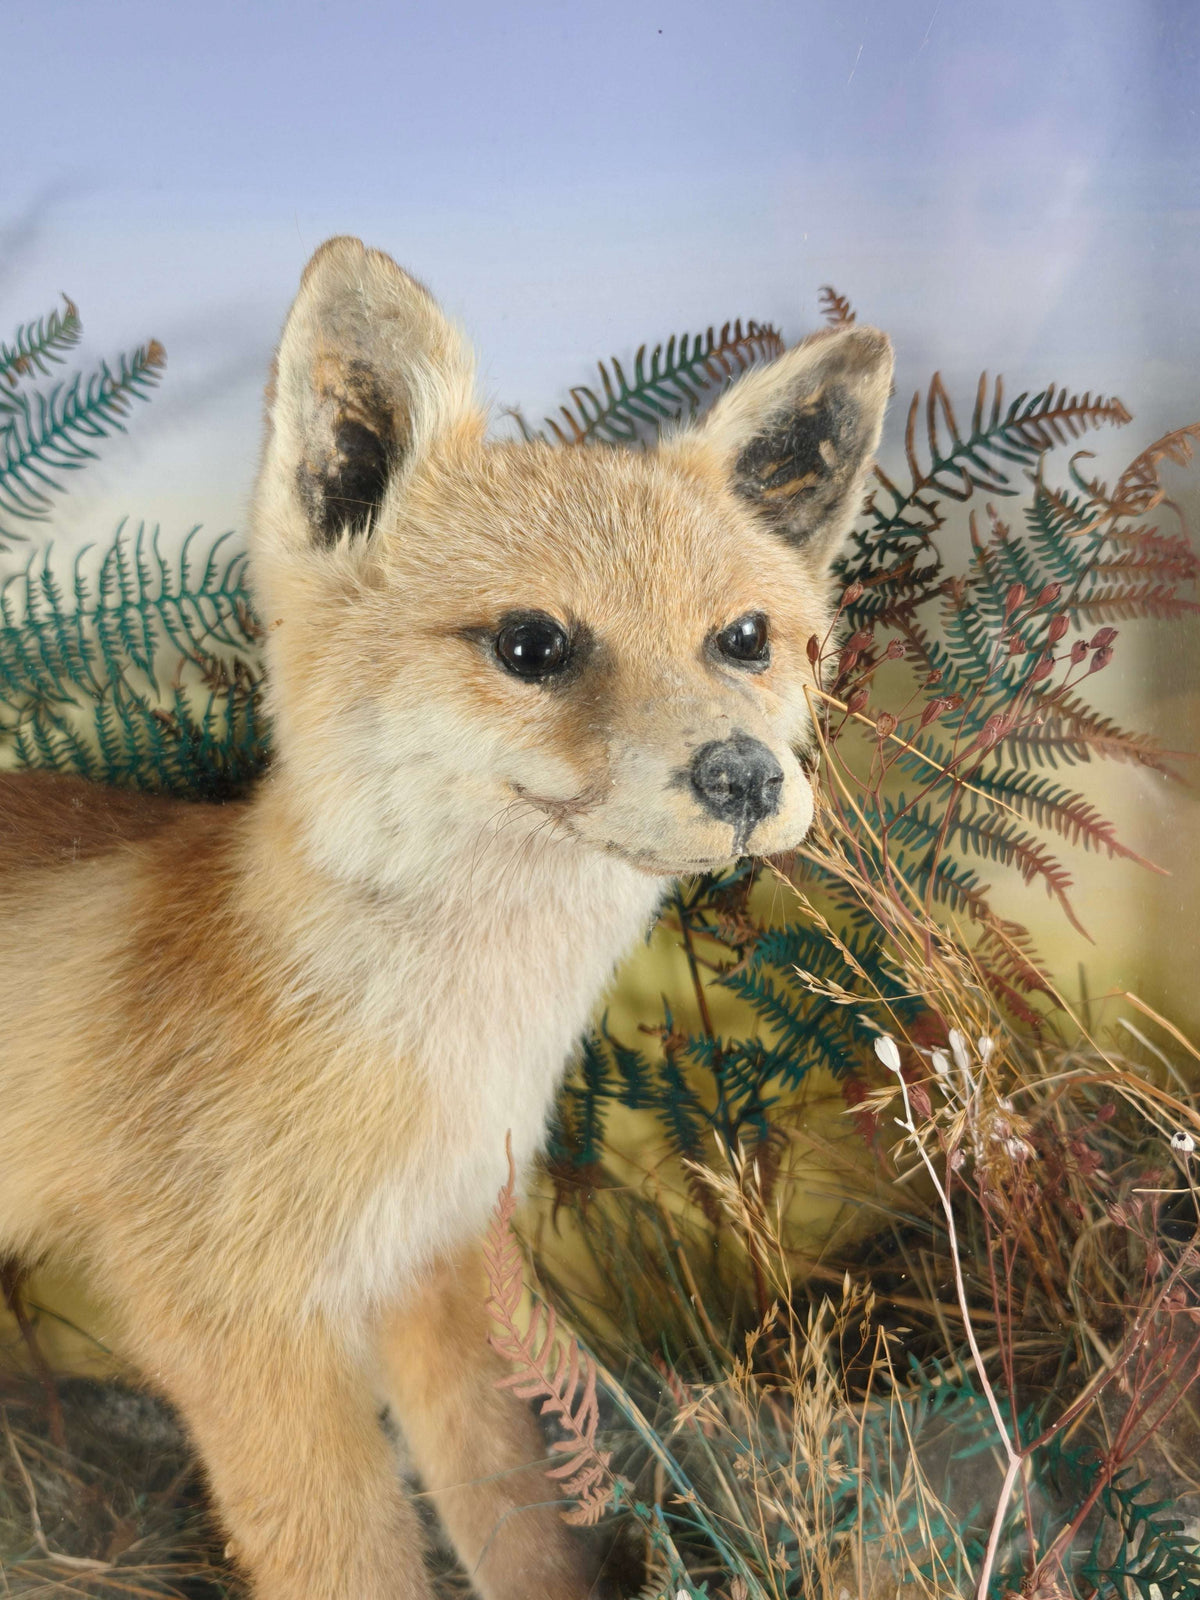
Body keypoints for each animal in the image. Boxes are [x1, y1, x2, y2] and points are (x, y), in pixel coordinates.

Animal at [0, 237, 891, 1599]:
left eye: (744, 638)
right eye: (532, 645)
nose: (743, 777)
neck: (441, 1063)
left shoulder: (439, 1268)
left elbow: (521, 1524)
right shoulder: (238, 1331)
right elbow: (356, 1562)